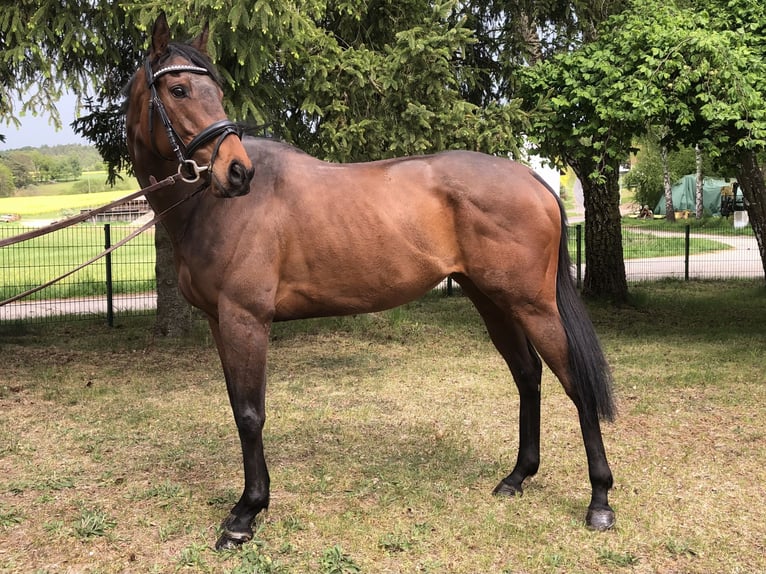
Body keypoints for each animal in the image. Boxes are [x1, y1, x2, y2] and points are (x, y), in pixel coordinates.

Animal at [125, 14, 617, 550]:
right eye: (178, 88)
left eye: (214, 89)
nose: (237, 172)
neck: (212, 209)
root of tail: (532, 180)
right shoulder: (221, 322)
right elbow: (239, 408)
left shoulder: (245, 319)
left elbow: (252, 413)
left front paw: (245, 514)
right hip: (491, 300)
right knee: (527, 375)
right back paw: (517, 477)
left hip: (533, 305)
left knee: (574, 383)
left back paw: (600, 501)